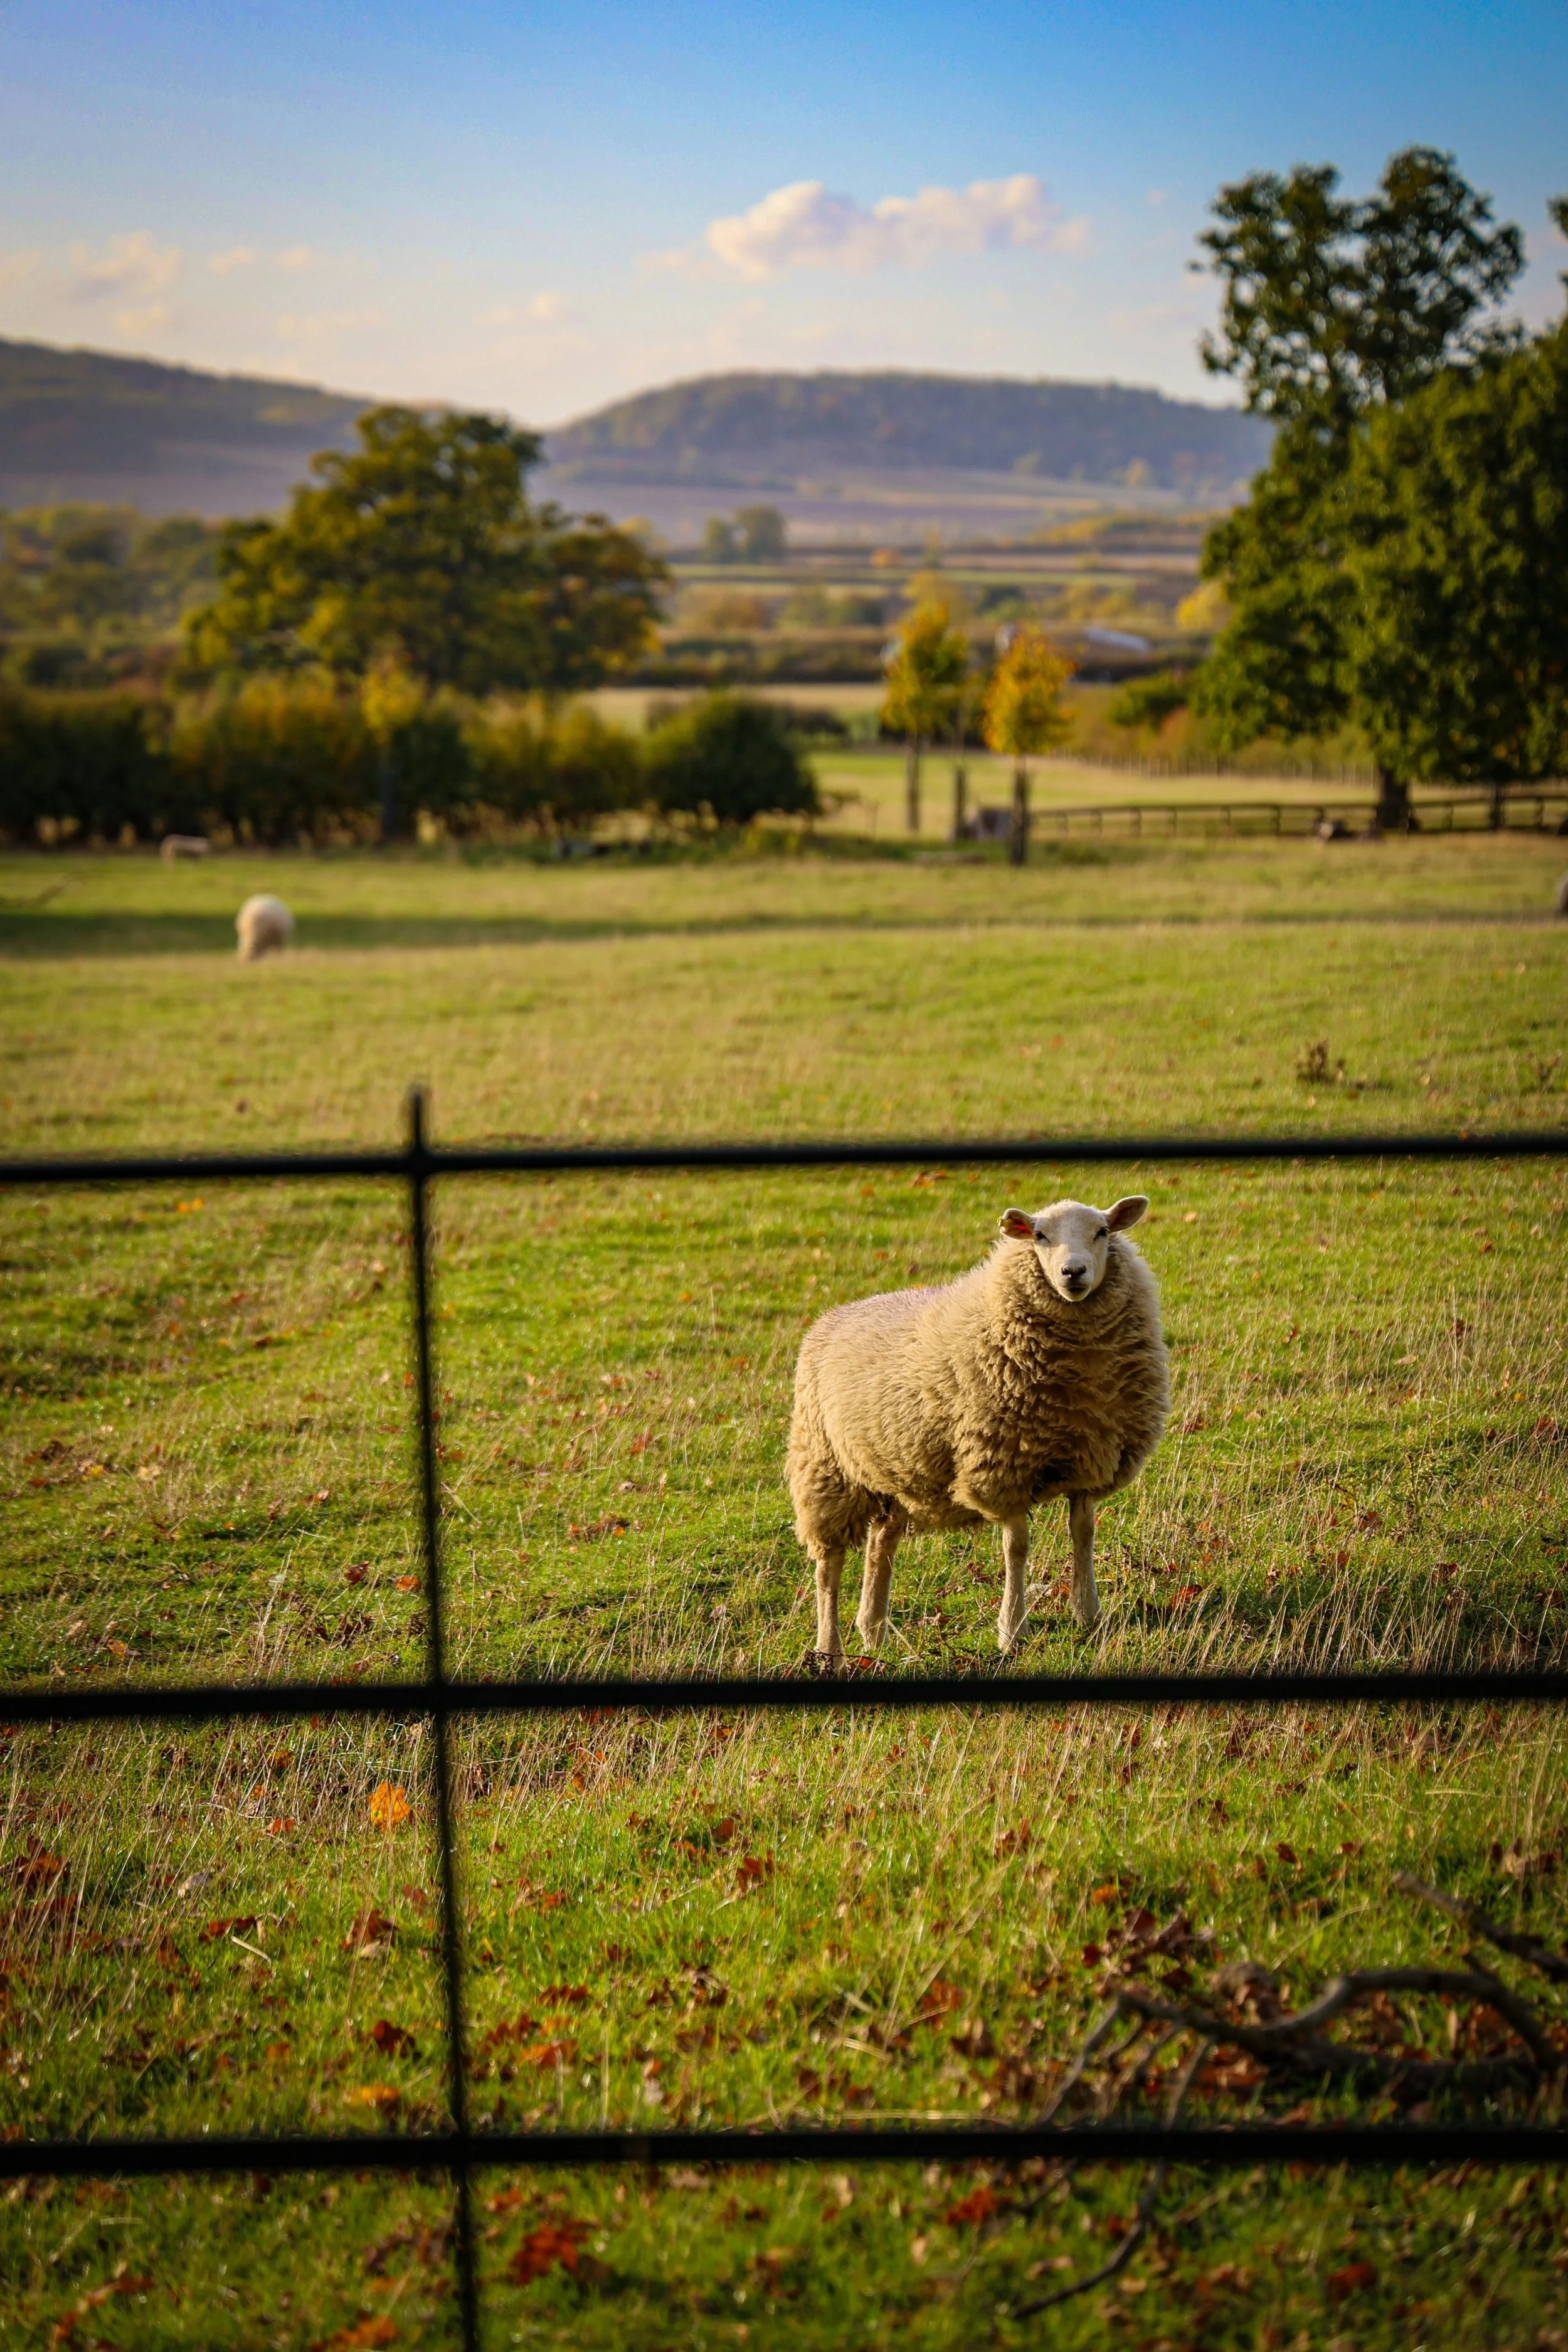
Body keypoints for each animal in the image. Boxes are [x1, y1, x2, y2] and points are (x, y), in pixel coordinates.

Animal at [787, 1196, 1168, 1661]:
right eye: (1040, 1235)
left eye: (1102, 1232)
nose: (1073, 1272)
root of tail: (832, 1315)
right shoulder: (1003, 1466)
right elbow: (1016, 1548)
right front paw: (1011, 1632)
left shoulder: (1090, 1461)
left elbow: (1084, 1534)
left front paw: (1089, 1615)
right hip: (825, 1468)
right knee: (829, 1566)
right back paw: (831, 1648)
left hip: (895, 1475)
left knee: (882, 1544)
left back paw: (873, 1632)